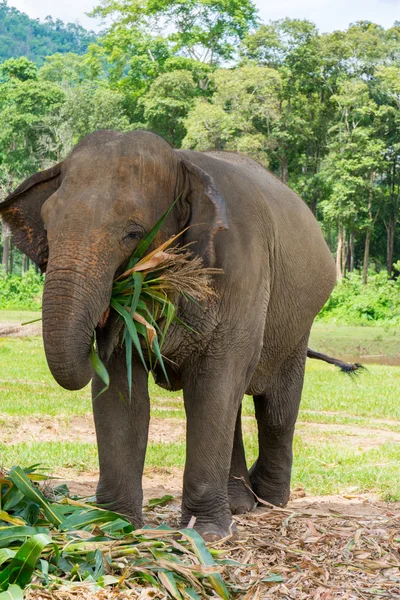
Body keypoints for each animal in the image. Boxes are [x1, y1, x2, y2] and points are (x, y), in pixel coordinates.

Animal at [0, 130, 338, 540]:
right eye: (48, 226)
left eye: (133, 233)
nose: (107, 319)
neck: (182, 163)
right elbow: (122, 391)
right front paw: (112, 525)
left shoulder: (241, 273)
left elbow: (212, 387)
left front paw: (207, 535)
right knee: (236, 406)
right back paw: (241, 504)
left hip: (298, 321)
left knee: (274, 408)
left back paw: (269, 501)